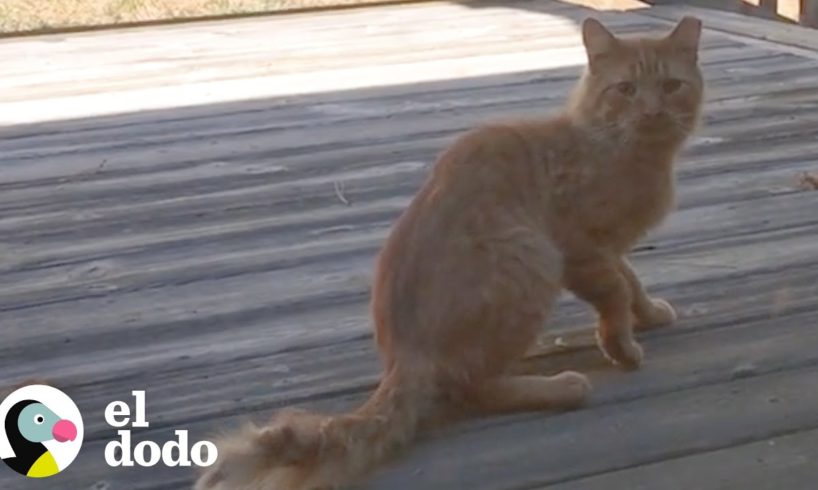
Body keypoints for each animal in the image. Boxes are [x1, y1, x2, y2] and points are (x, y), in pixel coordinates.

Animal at [196, 15, 700, 490]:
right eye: (626, 90)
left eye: (671, 87)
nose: (653, 112)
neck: (620, 150)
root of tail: (403, 357)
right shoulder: (578, 248)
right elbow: (615, 290)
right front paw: (623, 347)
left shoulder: (607, 247)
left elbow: (632, 280)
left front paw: (649, 313)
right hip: (530, 256)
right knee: (469, 389)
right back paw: (563, 386)